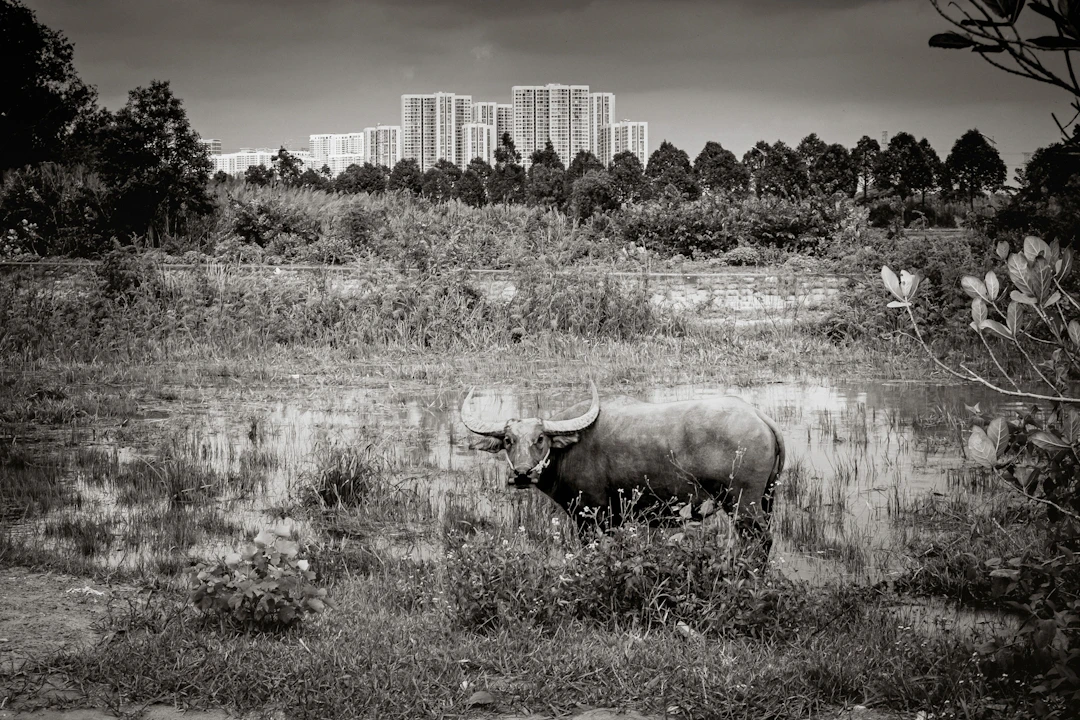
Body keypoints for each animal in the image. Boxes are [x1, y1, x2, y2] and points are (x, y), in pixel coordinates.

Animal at [460, 381, 785, 552]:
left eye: (540, 438)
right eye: (508, 440)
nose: (522, 474)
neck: (570, 449)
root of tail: (759, 417)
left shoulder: (593, 516)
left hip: (743, 505)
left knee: (760, 541)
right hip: (765, 501)